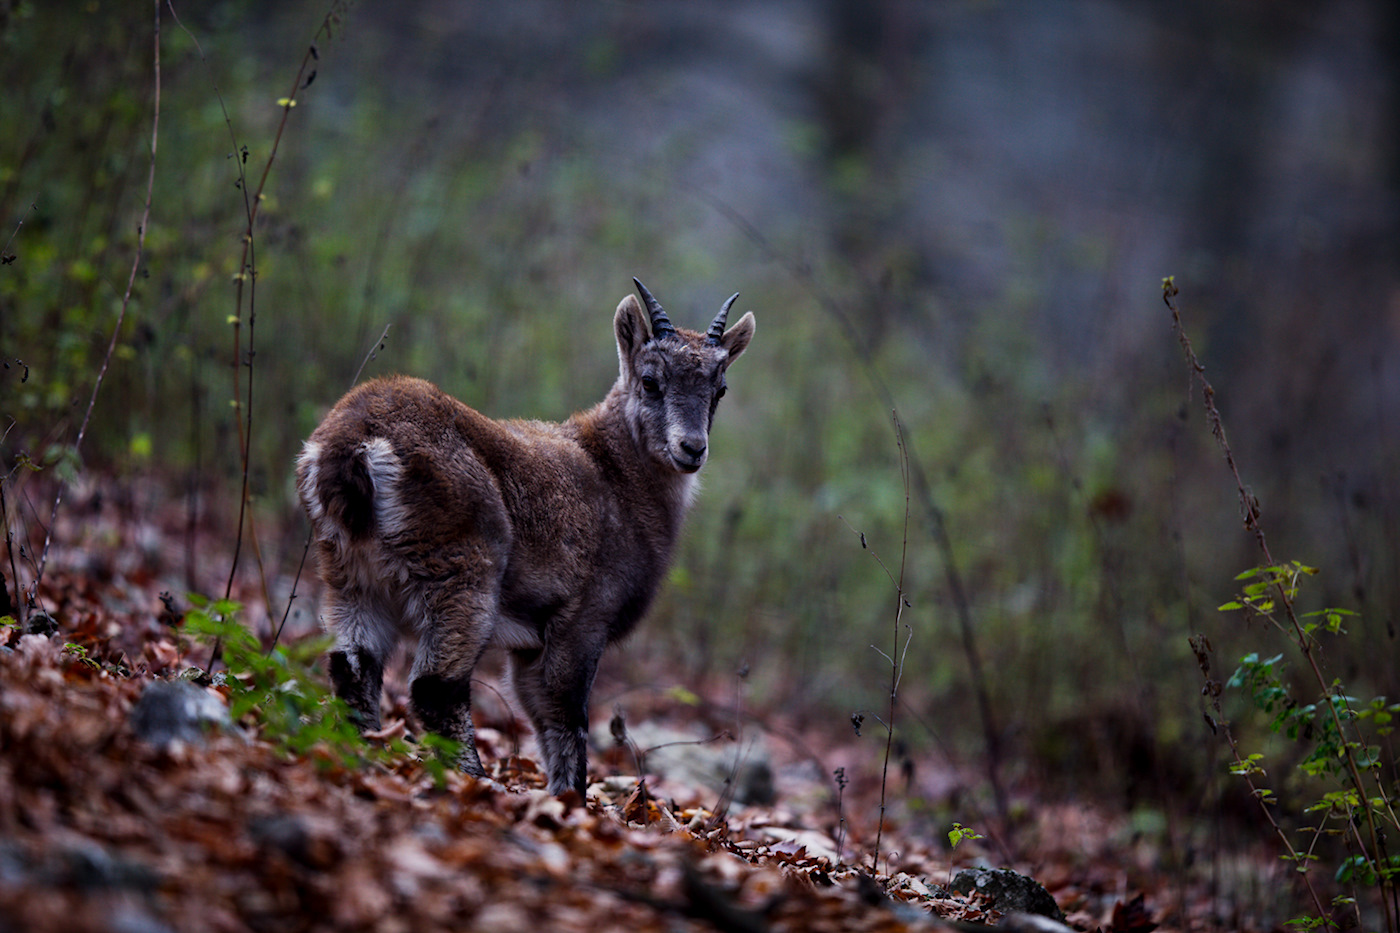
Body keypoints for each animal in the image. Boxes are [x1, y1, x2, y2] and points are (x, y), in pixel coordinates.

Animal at [296, 278, 755, 797]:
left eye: (720, 389)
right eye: (651, 381)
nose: (691, 449)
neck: (618, 477)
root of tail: (352, 445)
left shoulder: (530, 644)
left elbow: (541, 715)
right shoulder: (582, 621)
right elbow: (566, 718)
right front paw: (571, 800)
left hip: (351, 575)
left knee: (354, 665)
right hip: (462, 569)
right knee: (436, 685)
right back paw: (474, 781)